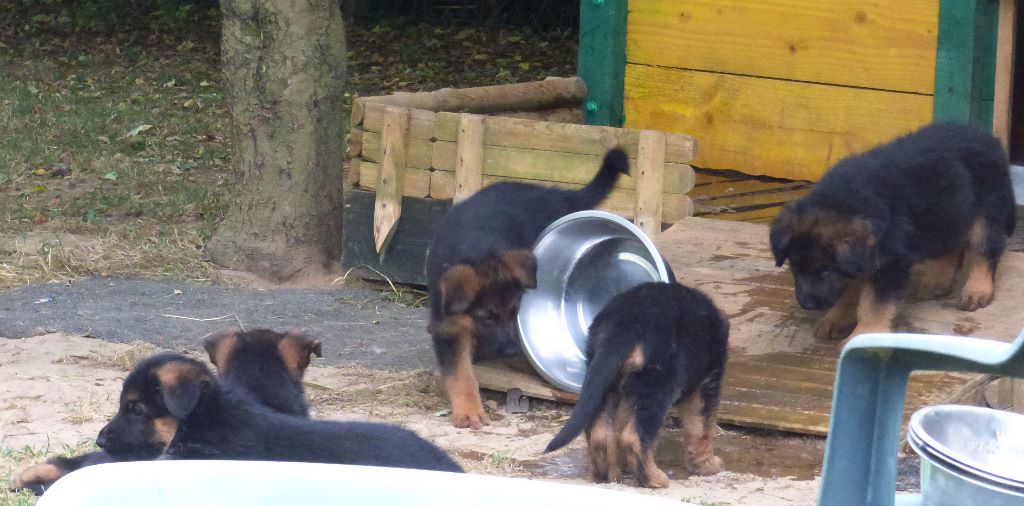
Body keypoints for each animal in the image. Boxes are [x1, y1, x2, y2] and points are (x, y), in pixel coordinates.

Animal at [425, 146, 630, 426]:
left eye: (515, 311)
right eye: (487, 317)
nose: (511, 350)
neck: (478, 249)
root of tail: (555, 194)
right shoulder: (448, 325)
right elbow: (460, 373)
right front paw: (467, 410)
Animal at [544, 282, 729, 487]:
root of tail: (623, 326)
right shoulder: (705, 383)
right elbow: (702, 428)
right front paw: (708, 465)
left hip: (605, 385)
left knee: (600, 434)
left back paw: (605, 476)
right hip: (657, 384)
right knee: (635, 438)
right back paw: (654, 479)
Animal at [770, 121, 1015, 344]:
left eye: (826, 271)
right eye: (795, 267)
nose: (807, 304)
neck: (845, 201)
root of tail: (990, 139)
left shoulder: (889, 263)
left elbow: (873, 304)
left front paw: (864, 334)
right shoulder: (861, 261)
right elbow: (850, 291)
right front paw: (836, 318)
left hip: (986, 212)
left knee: (986, 250)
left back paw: (977, 290)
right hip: (947, 212)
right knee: (953, 246)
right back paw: (938, 282)